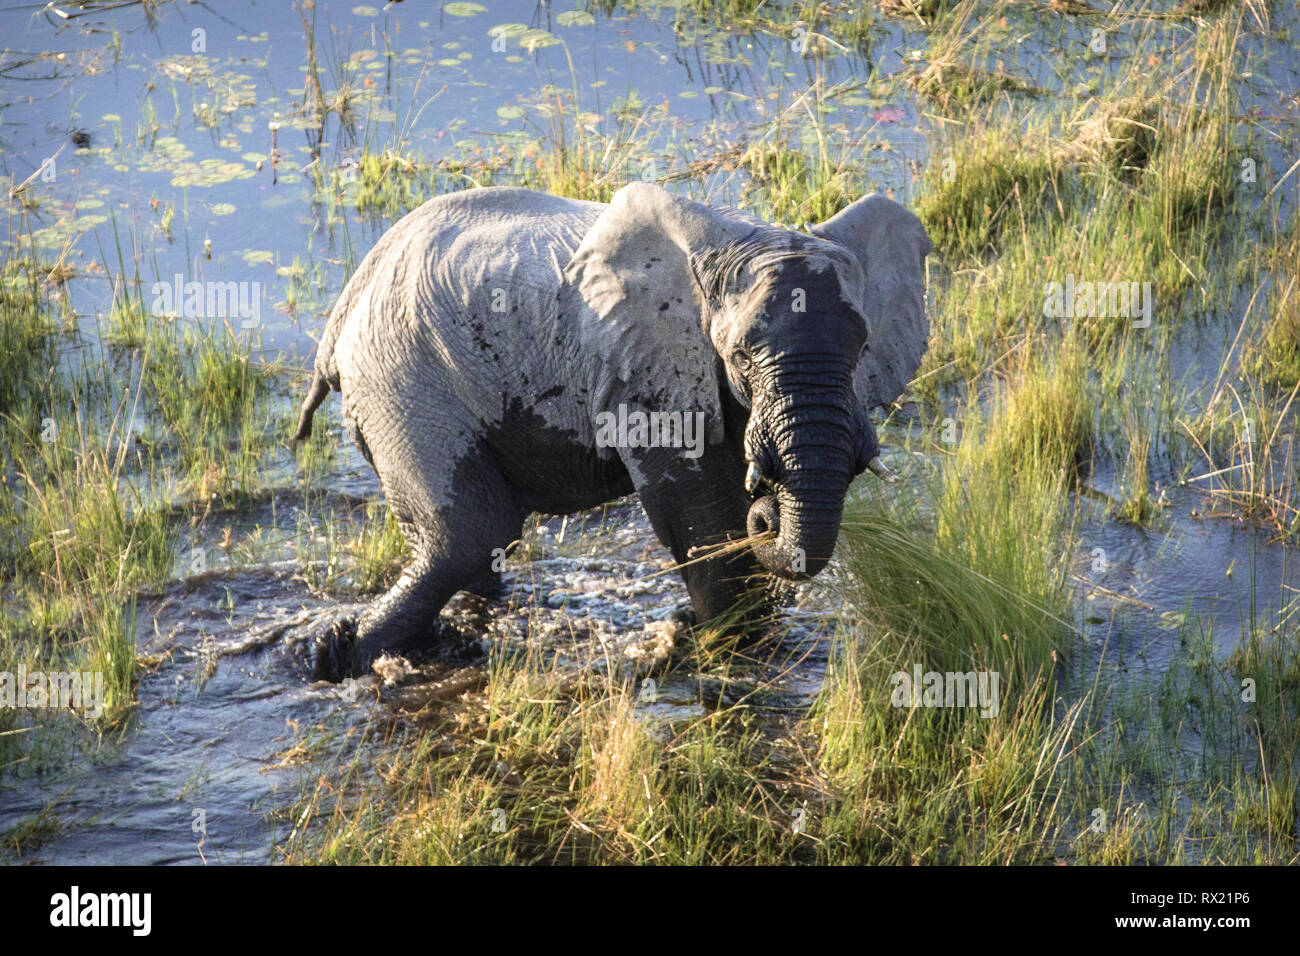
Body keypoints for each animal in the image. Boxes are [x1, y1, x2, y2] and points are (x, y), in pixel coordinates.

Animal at [292, 179, 935, 671]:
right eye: (742, 355)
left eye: (862, 347)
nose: (767, 508)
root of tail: (343, 310)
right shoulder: (647, 366)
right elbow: (696, 509)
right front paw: (730, 643)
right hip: (403, 379)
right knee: (467, 534)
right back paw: (337, 654)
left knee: (478, 546)